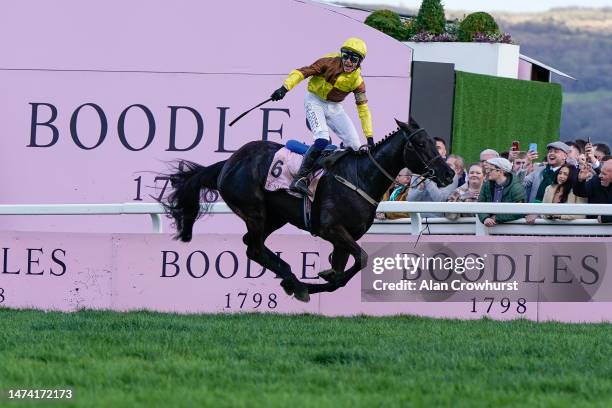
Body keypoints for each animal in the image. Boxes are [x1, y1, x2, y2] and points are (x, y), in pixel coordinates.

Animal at [165, 118, 452, 302]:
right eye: (421, 144)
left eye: (432, 142)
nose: (448, 173)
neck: (360, 176)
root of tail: (229, 161)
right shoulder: (330, 228)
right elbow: (361, 259)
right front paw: (308, 284)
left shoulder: (346, 236)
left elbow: (340, 275)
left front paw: (319, 280)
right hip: (255, 210)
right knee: (255, 248)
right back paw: (293, 280)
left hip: (275, 217)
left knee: (252, 246)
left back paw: (291, 279)